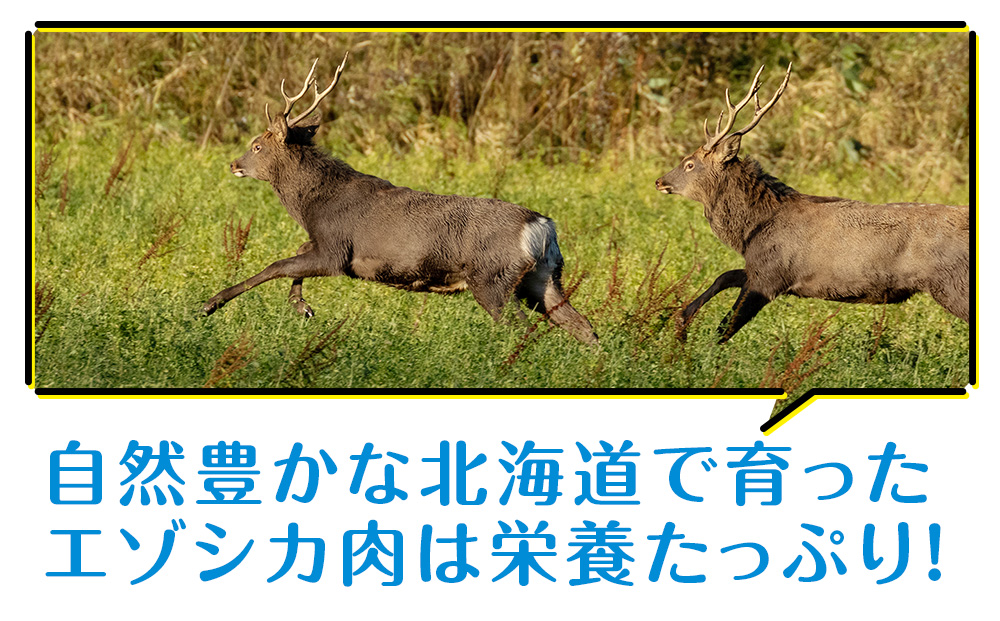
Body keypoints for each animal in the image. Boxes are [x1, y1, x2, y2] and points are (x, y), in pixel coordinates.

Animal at [203, 54, 598, 345]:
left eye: (257, 145)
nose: (234, 163)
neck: (313, 205)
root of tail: (541, 225)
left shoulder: (336, 250)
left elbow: (277, 265)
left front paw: (211, 304)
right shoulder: (325, 245)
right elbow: (295, 254)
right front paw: (302, 307)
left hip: (492, 278)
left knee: (522, 328)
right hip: (543, 276)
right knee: (583, 326)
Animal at [655, 63, 969, 343]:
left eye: (689, 164)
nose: (659, 181)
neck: (750, 231)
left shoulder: (770, 276)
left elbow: (725, 327)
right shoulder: (762, 268)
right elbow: (724, 276)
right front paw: (680, 324)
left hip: (953, 283)